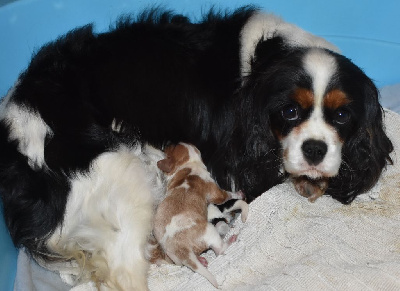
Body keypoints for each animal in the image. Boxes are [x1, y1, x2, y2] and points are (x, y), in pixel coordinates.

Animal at [152, 143, 247, 288]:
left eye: (169, 148)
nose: (166, 145)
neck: (186, 165)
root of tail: (183, 251)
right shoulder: (217, 193)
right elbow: (227, 194)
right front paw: (238, 193)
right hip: (210, 231)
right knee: (220, 250)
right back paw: (230, 241)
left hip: (175, 258)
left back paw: (201, 260)